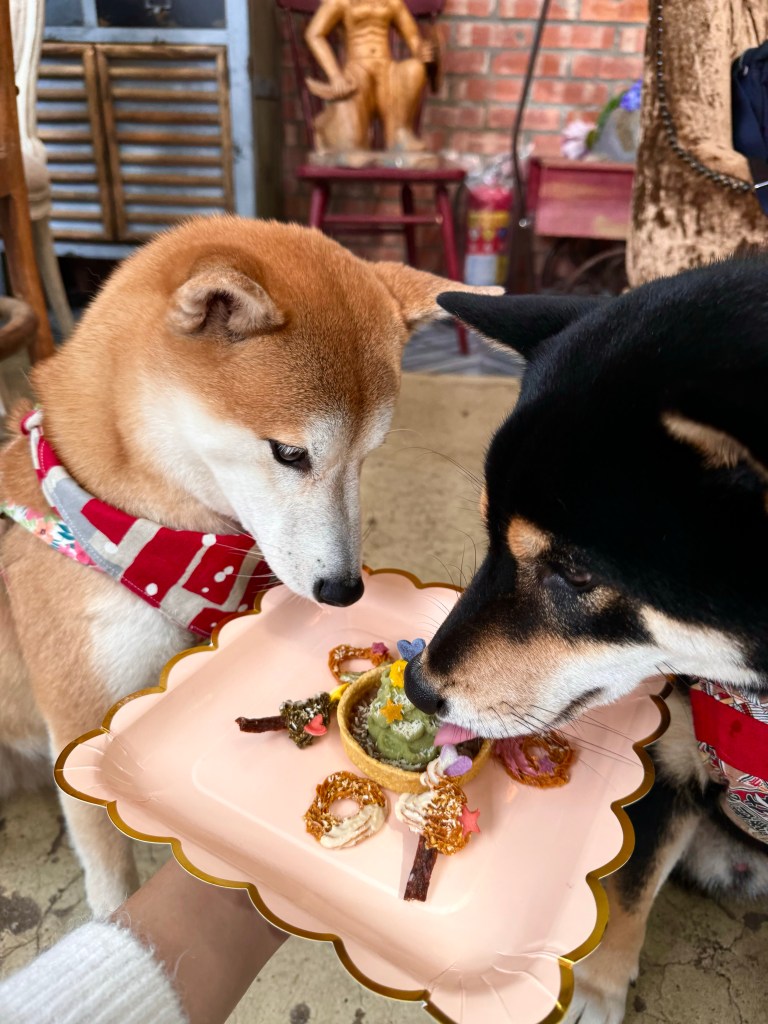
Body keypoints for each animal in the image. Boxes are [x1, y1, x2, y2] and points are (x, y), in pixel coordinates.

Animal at [404, 255, 768, 1023]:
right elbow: (631, 888)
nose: (418, 687)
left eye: (575, 572)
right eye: (488, 535)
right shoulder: (673, 759)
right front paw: (600, 986)